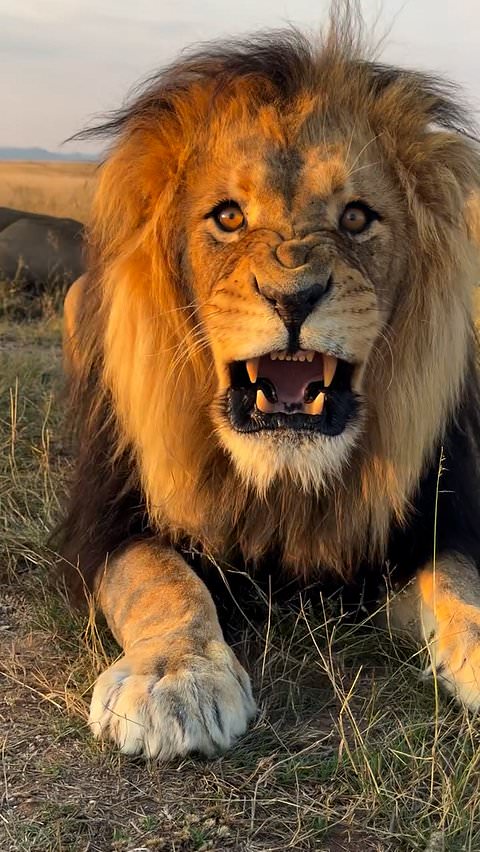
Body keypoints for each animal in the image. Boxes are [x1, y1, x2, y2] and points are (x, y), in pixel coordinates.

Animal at [59, 12, 480, 760]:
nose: (294, 296)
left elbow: (461, 585)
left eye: (356, 217)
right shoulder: (104, 527)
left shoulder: (433, 523)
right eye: (229, 217)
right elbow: (161, 580)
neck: (285, 482)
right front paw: (176, 679)